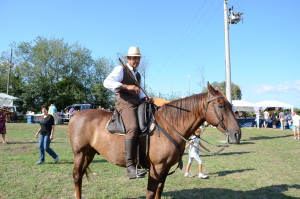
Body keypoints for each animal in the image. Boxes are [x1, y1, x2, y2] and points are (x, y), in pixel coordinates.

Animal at [68, 82, 241, 197]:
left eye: (230, 105)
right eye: (220, 105)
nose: (237, 134)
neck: (170, 125)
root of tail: (75, 115)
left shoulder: (164, 170)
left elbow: (158, 192)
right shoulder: (156, 169)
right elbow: (151, 193)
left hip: (89, 153)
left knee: (80, 176)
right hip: (80, 154)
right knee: (77, 177)